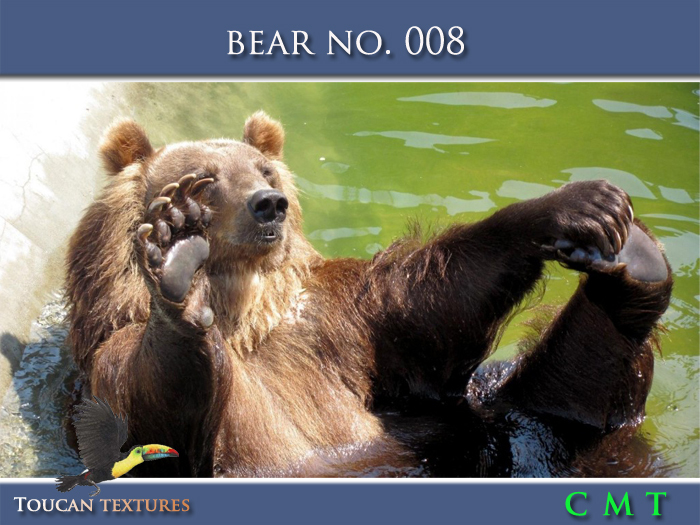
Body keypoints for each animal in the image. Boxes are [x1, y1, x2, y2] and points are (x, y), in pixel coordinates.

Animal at [65, 112, 673, 477]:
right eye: (206, 178)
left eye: (264, 170)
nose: (268, 204)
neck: (247, 314)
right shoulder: (112, 360)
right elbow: (152, 407)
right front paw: (177, 261)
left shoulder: (341, 323)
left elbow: (426, 308)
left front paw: (575, 204)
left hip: (485, 419)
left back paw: (634, 263)